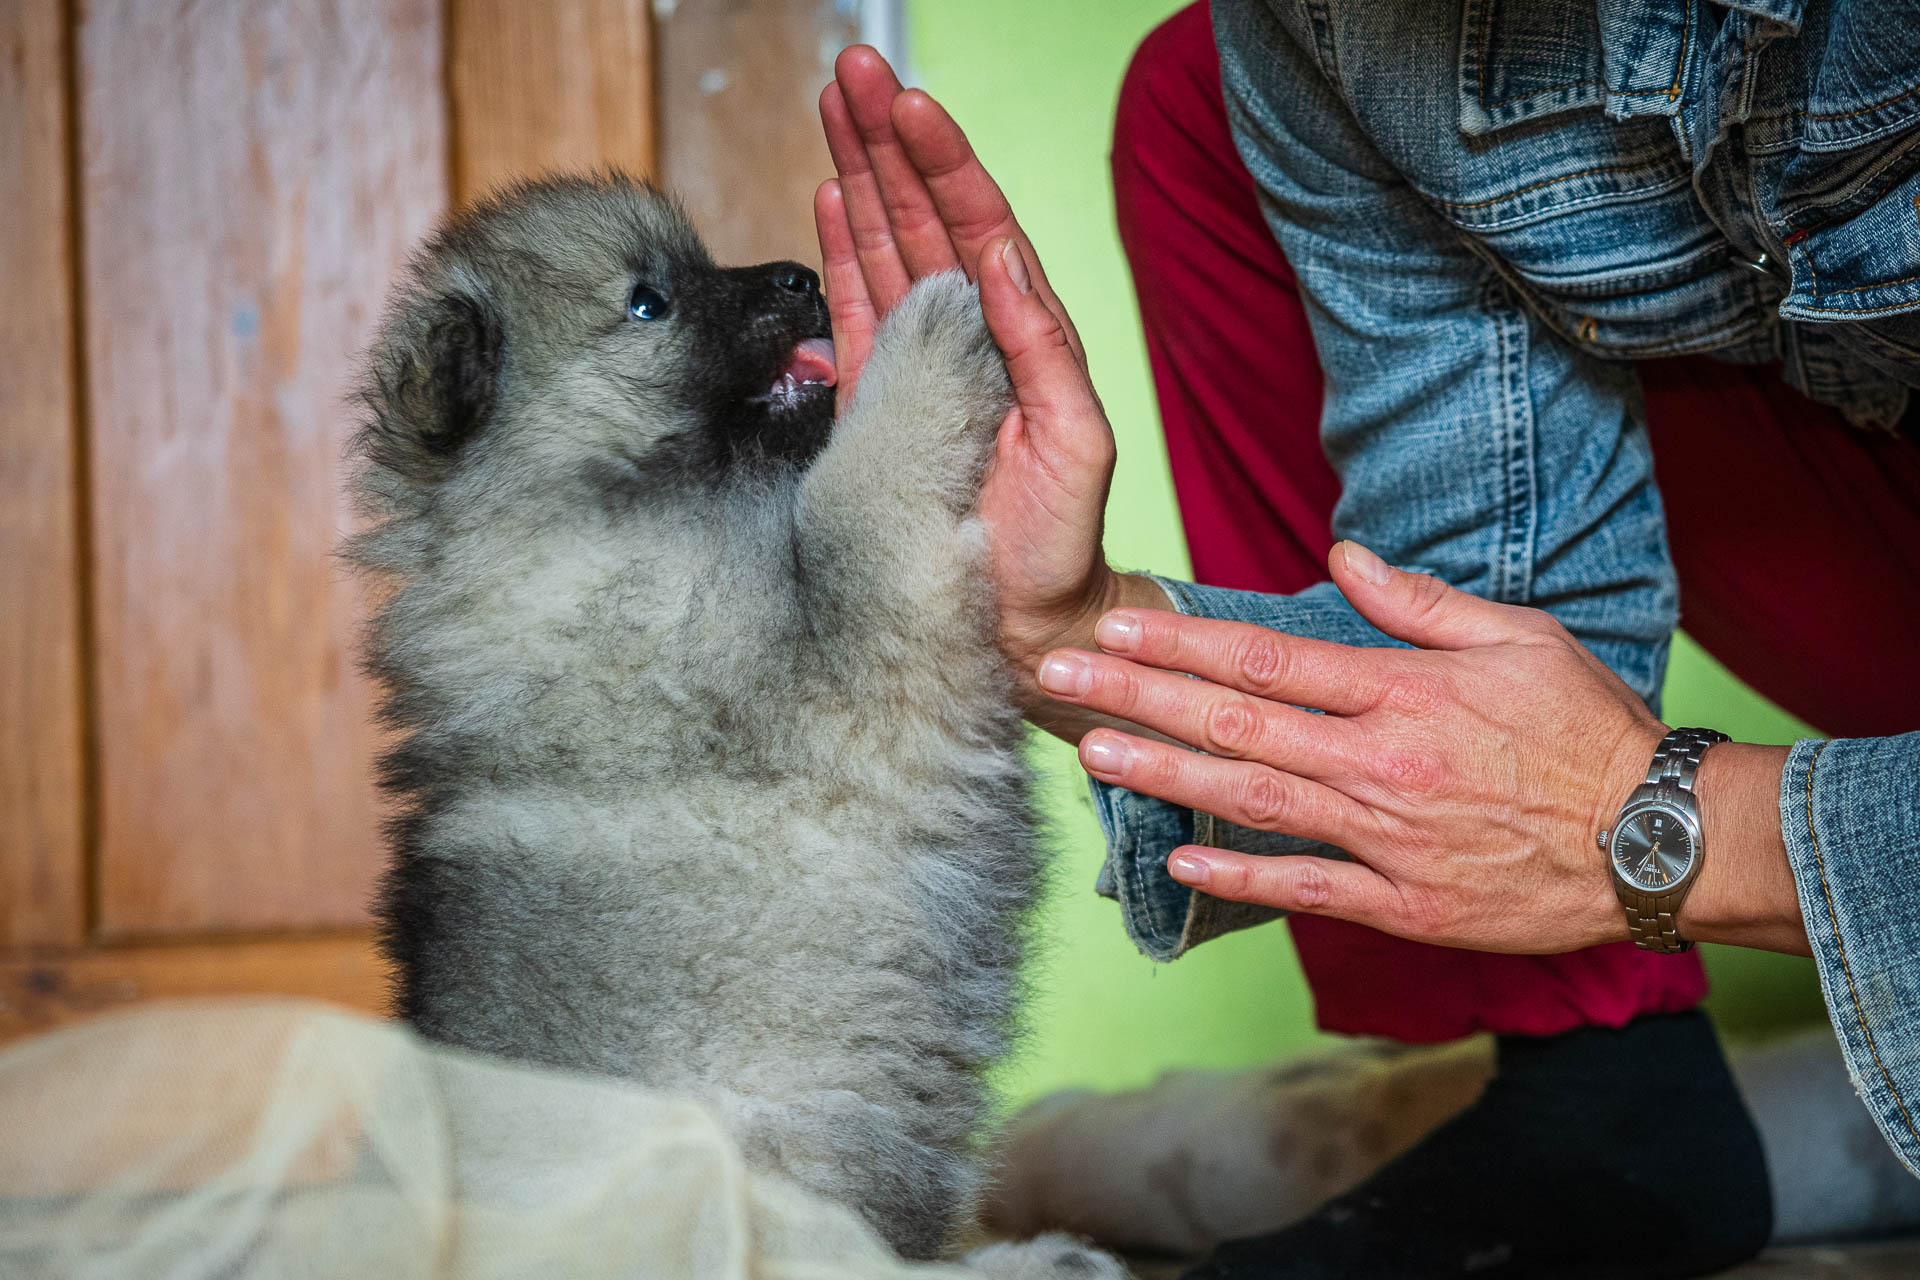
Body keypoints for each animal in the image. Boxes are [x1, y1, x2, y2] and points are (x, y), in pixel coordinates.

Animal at [349, 172, 1121, 1280]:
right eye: (648, 302)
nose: (803, 277)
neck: (574, 527)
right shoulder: (853, 658)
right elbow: (855, 496)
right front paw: (935, 328)